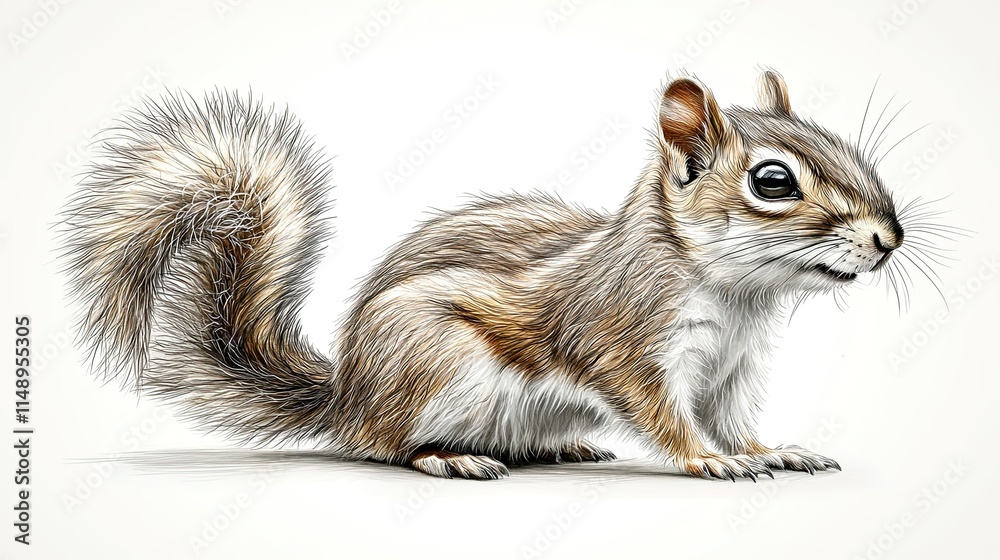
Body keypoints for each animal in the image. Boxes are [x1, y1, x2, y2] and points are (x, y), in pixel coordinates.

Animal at [61, 70, 907, 481]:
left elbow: (734, 417)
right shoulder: (625, 342)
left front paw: (771, 451)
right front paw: (709, 459)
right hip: (434, 365)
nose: (889, 239)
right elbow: (665, 415)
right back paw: (450, 456)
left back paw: (560, 449)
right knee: (387, 447)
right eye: (774, 182)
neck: (740, 296)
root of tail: (348, 396)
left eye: (837, 141)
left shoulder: (735, 370)